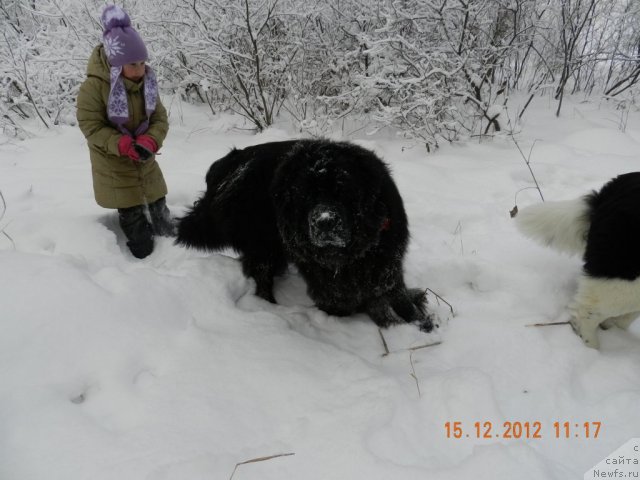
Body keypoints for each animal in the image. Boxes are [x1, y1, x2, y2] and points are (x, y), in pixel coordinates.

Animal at [178, 139, 432, 332]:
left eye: (344, 191)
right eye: (305, 196)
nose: (325, 221)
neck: (348, 255)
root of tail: (229, 163)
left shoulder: (386, 265)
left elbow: (395, 295)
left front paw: (417, 320)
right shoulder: (324, 276)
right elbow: (342, 299)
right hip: (261, 243)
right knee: (261, 275)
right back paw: (268, 307)